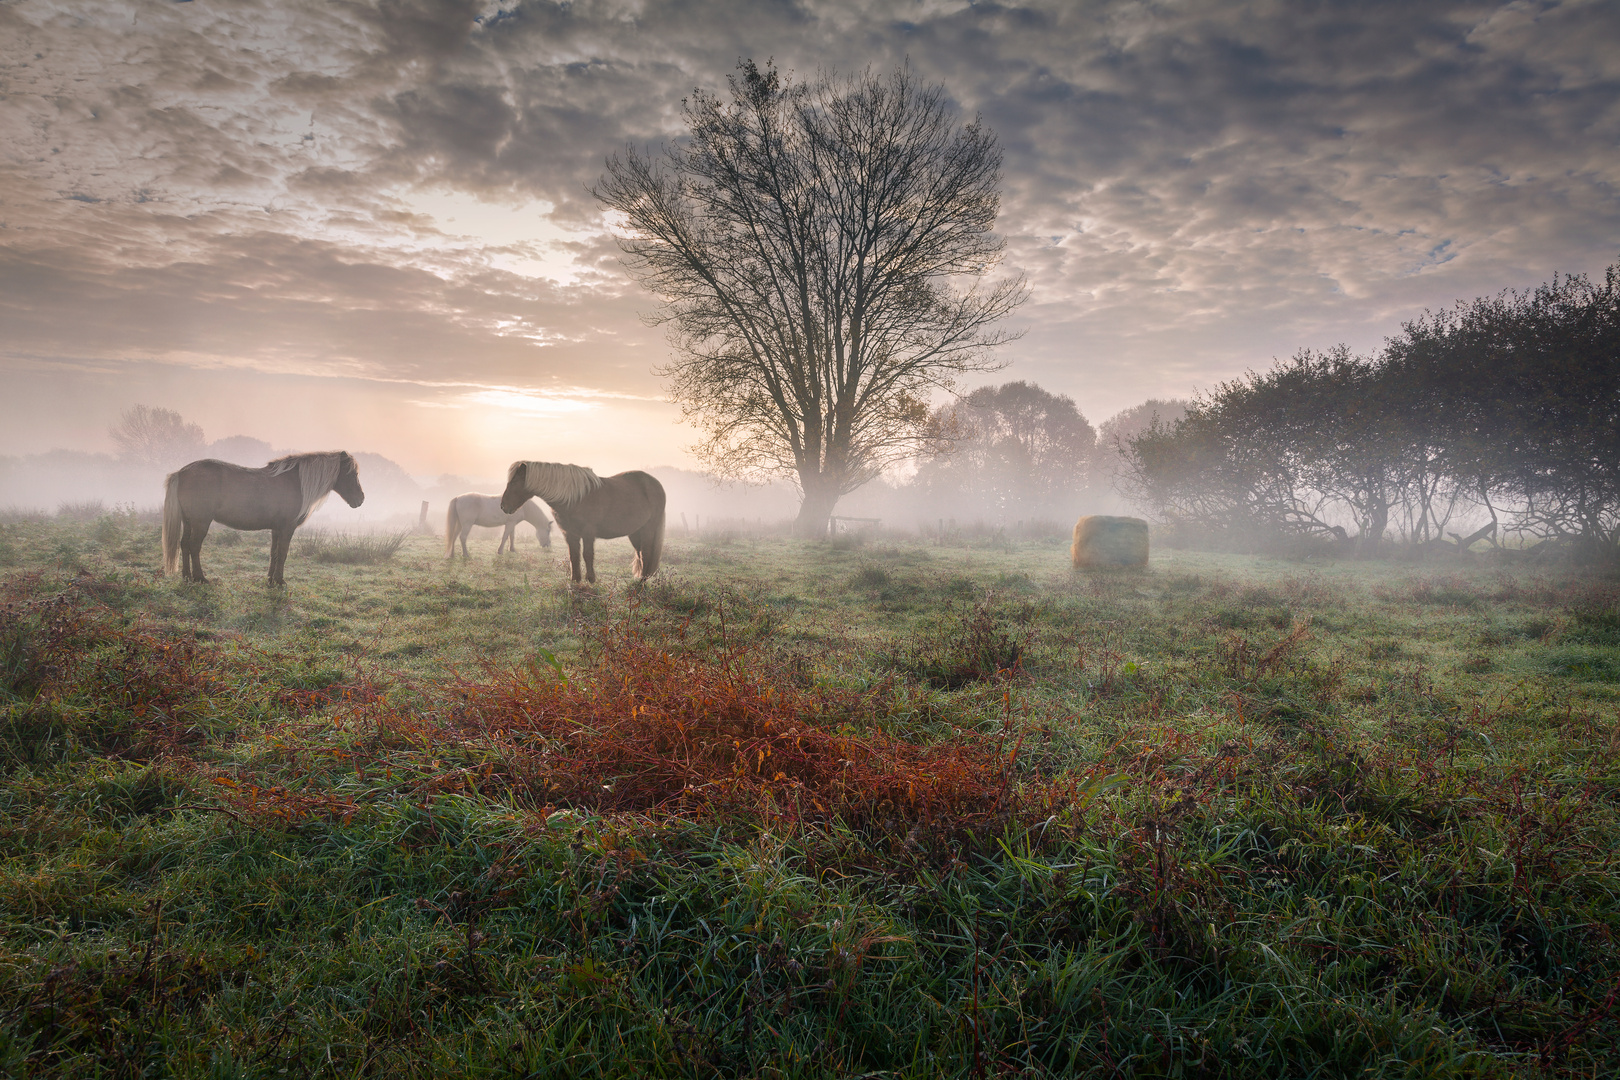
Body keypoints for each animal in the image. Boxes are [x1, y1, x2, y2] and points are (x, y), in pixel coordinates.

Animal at [162, 453, 366, 586]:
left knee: (184, 545)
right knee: (194, 546)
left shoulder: (276, 529)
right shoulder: (287, 528)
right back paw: (200, 578)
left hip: (188, 521)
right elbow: (283, 553)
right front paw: (280, 581)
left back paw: (187, 576)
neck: (296, 483)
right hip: (201, 522)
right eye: (352, 473)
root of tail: (181, 472)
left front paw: (271, 579)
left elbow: (274, 553)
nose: (360, 499)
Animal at [498, 463, 664, 586]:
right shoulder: (569, 533)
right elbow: (574, 555)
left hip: (648, 529)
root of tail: (655, 484)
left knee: (646, 554)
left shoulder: (588, 532)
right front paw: (575, 580)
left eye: (514, 482)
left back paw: (641, 583)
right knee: (640, 554)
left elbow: (587, 555)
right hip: (635, 532)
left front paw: (591, 579)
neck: (574, 497)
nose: (503, 506)